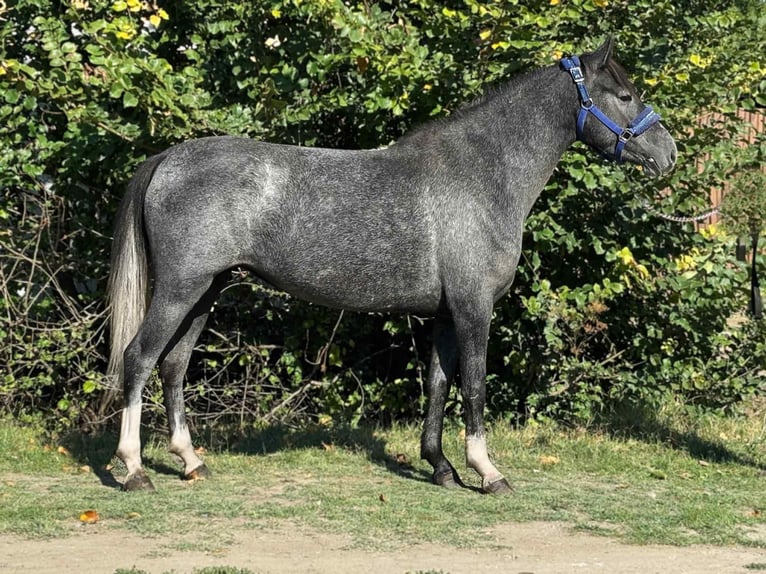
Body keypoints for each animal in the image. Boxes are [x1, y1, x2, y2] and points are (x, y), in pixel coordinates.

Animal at [107, 37, 676, 493]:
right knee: (138, 359)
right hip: (180, 289)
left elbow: (438, 384)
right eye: (625, 96)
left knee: (173, 366)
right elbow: (474, 384)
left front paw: (441, 468)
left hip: (205, 291)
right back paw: (134, 469)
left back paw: (190, 461)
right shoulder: (474, 310)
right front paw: (487, 472)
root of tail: (167, 160)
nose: (668, 152)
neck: (484, 172)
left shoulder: (445, 314)